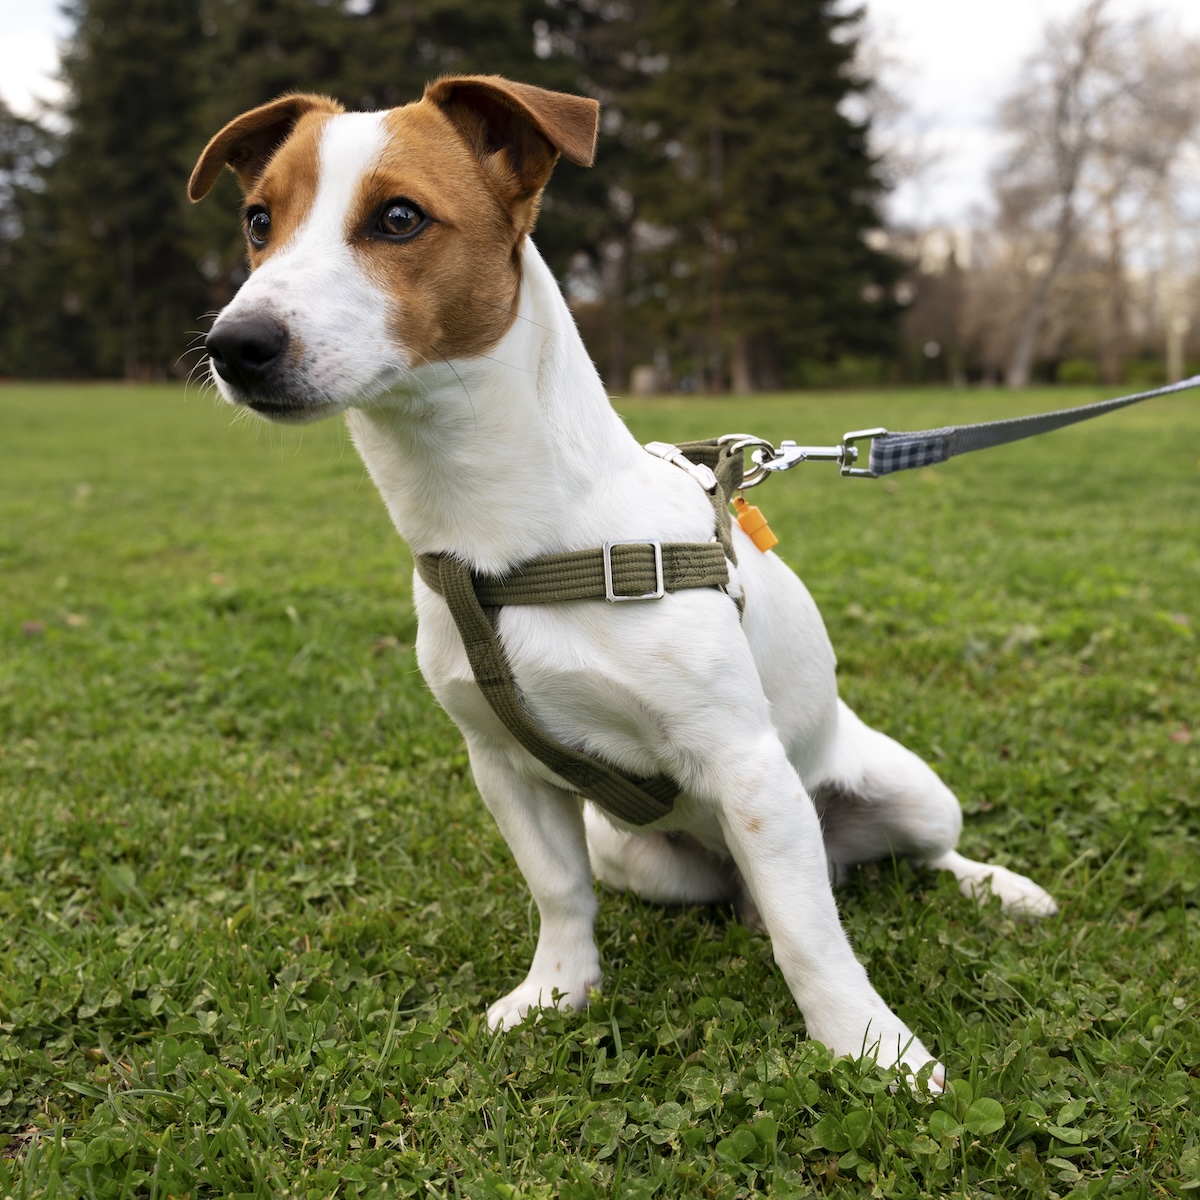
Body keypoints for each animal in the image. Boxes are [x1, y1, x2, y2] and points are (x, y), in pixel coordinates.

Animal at [189, 75, 1060, 1089]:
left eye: (399, 217)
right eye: (258, 221)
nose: (235, 343)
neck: (501, 542)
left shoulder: (746, 765)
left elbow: (812, 938)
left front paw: (869, 1045)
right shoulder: (503, 767)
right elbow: (559, 891)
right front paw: (558, 992)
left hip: (899, 792)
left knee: (920, 859)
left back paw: (1004, 890)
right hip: (641, 855)